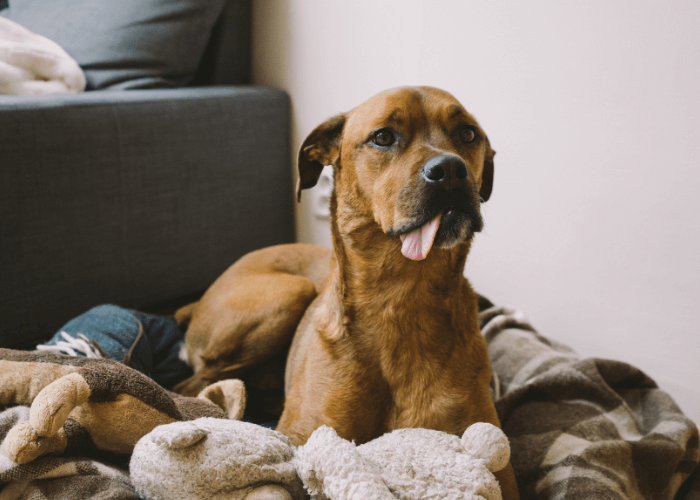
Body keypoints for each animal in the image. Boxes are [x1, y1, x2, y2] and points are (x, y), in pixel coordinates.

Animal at [175, 87, 520, 500]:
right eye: (383, 137)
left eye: (468, 134)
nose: (451, 170)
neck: (400, 299)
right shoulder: (308, 437)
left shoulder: (494, 463)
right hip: (287, 295)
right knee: (190, 386)